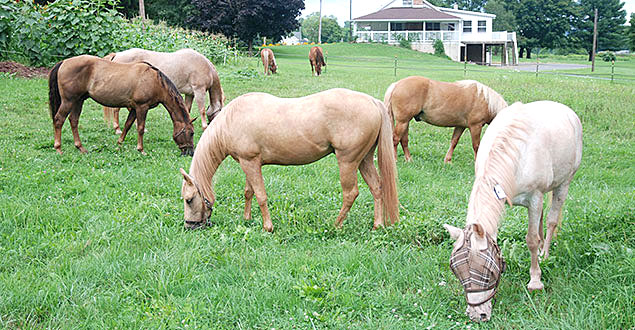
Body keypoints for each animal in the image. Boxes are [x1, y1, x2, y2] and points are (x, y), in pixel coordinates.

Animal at [179, 87, 398, 232]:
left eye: (189, 200)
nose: (190, 226)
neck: (232, 120)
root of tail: (372, 102)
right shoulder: (248, 163)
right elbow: (249, 192)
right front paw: (247, 219)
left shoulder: (250, 162)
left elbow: (261, 196)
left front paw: (268, 227)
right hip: (365, 160)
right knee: (377, 188)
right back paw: (377, 225)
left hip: (348, 162)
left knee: (350, 194)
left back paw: (335, 224)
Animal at [382, 75, 512, 162]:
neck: (485, 100)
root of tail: (396, 85)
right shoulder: (475, 126)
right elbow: (476, 146)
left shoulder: (460, 126)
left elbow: (454, 142)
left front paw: (448, 161)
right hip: (402, 122)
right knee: (395, 139)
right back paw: (395, 159)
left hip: (405, 122)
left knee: (403, 140)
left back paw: (409, 159)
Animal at [444, 101, 584, 322]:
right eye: (457, 273)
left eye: (489, 273)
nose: (477, 315)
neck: (514, 153)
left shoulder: (534, 197)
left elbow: (531, 239)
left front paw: (535, 281)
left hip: (564, 183)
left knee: (551, 220)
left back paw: (545, 254)